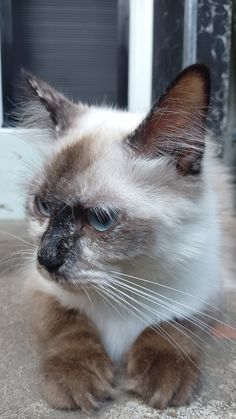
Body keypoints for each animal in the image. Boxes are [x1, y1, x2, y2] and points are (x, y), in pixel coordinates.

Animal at [20, 65, 234, 414]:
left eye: (100, 219)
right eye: (43, 207)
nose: (46, 258)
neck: (123, 287)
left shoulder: (205, 293)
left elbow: (171, 325)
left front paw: (164, 376)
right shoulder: (42, 288)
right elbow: (71, 326)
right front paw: (76, 378)